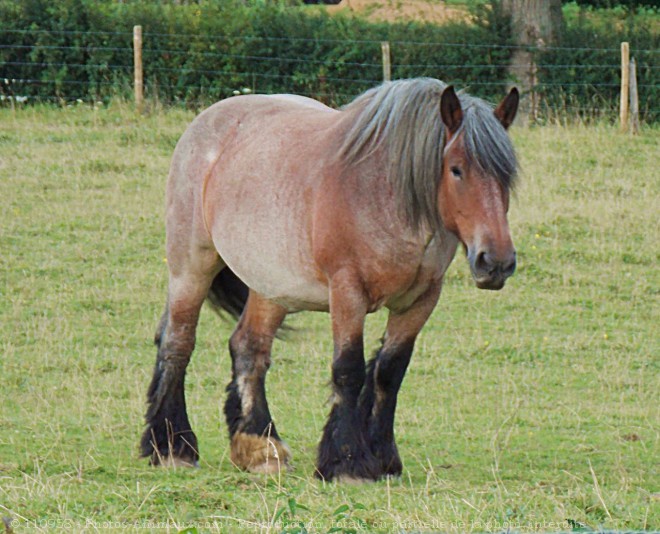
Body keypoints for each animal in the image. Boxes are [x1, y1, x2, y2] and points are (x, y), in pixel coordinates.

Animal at [141, 77, 520, 484]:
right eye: (456, 169)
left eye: (506, 175)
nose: (496, 262)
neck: (382, 194)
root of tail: (207, 123)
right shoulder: (347, 291)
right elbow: (348, 370)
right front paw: (347, 462)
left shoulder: (420, 300)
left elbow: (389, 372)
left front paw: (383, 457)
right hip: (191, 266)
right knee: (177, 341)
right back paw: (172, 446)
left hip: (271, 286)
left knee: (248, 349)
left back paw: (260, 447)